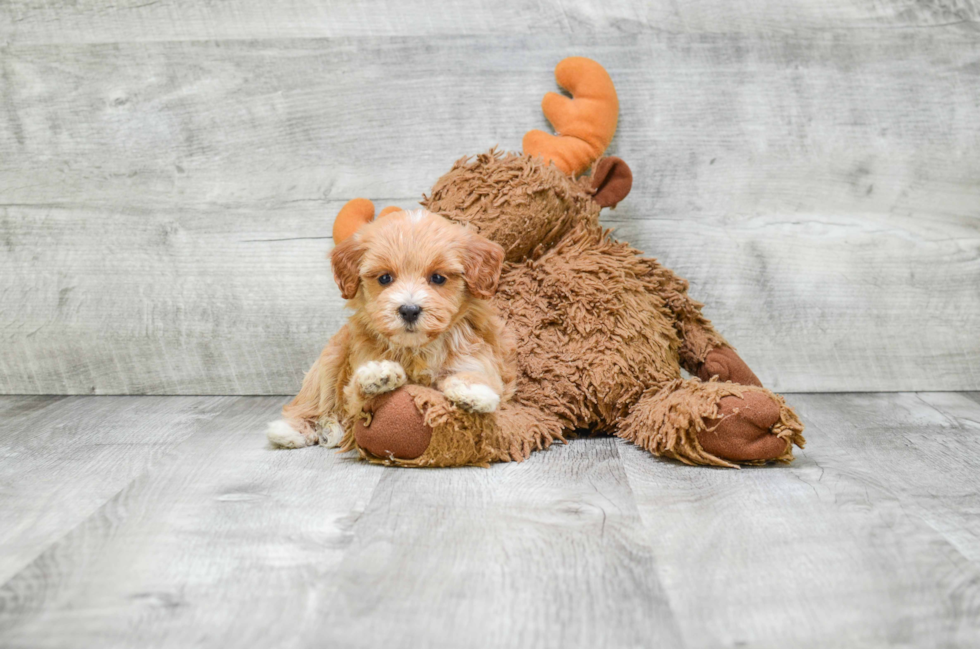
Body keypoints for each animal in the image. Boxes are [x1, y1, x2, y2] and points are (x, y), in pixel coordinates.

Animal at [264, 210, 516, 448]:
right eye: (385, 278)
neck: (416, 349)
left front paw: (473, 390)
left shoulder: (476, 354)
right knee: (313, 401)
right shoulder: (354, 383)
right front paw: (378, 375)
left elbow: (480, 375)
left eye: (437, 278)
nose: (409, 310)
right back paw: (291, 430)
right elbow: (355, 393)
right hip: (329, 362)